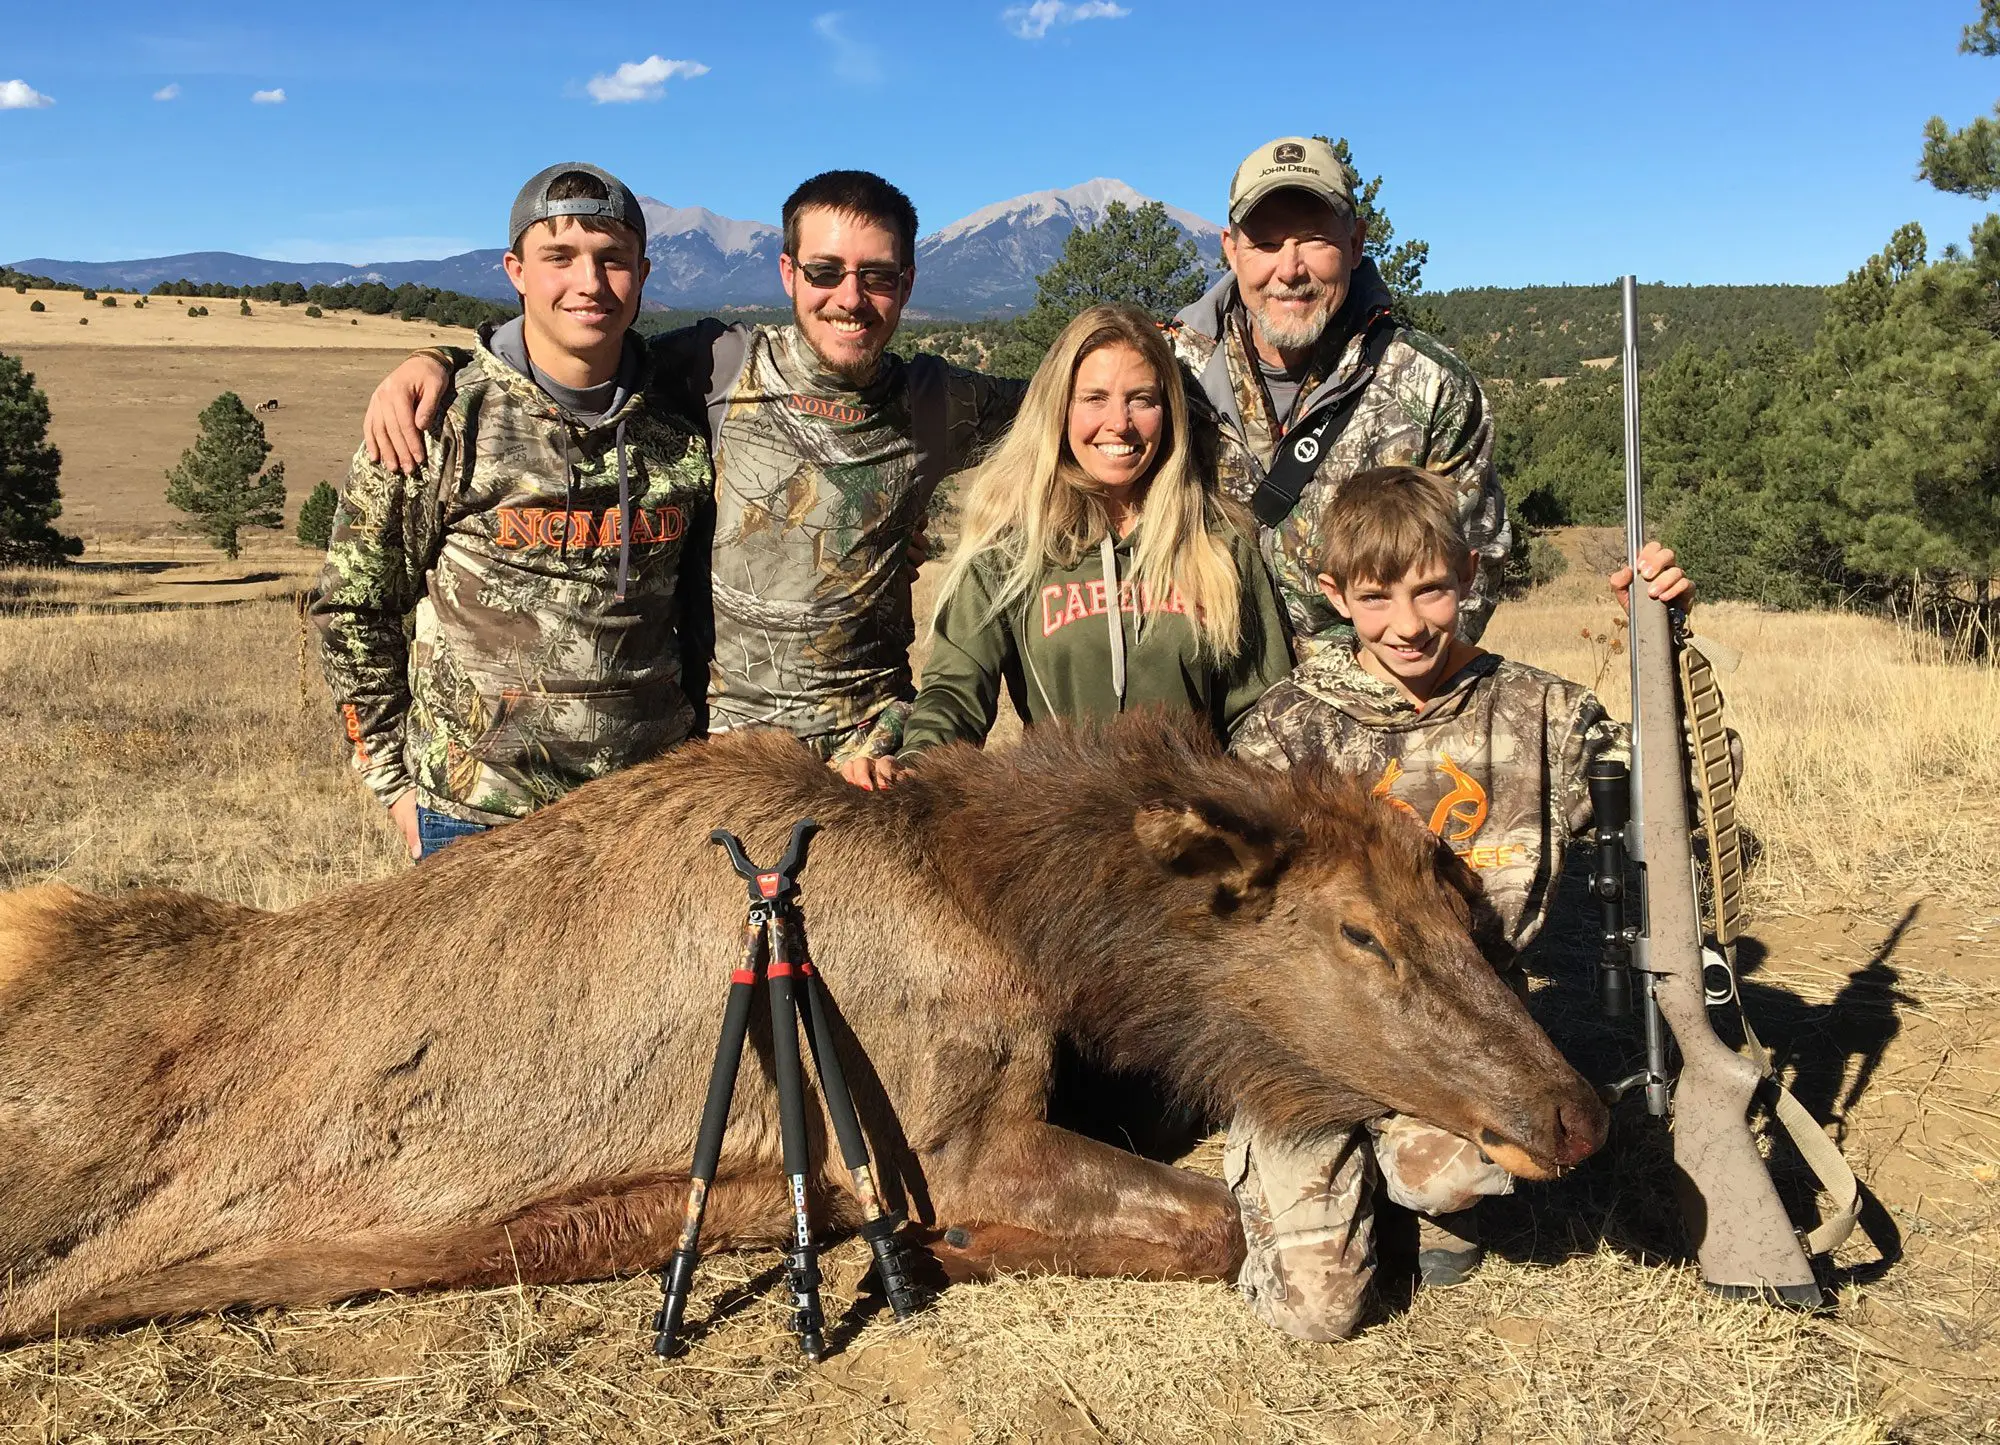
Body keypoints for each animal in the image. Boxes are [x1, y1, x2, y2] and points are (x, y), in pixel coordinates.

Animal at [0, 712, 1600, 1336]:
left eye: (1468, 913)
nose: (1572, 1112)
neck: (1027, 917)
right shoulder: (950, 1133)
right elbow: (1213, 1225)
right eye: (1356, 930)